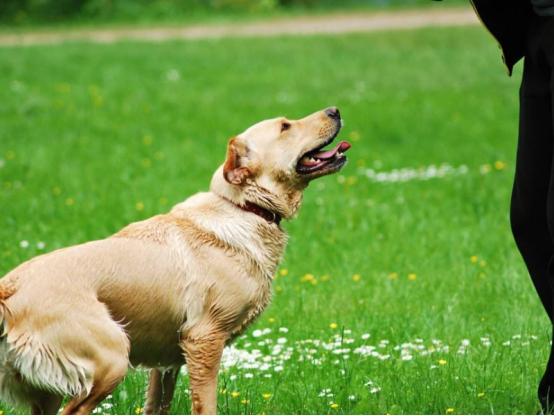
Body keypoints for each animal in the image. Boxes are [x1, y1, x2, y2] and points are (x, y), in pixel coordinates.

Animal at [0, 106, 350, 412]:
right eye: (285, 127)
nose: (334, 110)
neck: (244, 208)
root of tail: (9, 288)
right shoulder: (204, 340)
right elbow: (206, 406)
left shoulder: (167, 362)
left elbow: (157, 406)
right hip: (111, 359)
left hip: (49, 392)